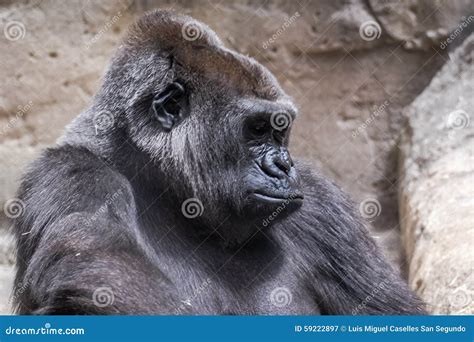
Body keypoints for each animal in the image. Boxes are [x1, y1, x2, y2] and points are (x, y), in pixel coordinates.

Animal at [12, 10, 426, 316]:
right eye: (257, 130)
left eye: (280, 130)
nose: (284, 167)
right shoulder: (71, 174)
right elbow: (99, 273)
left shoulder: (323, 206)